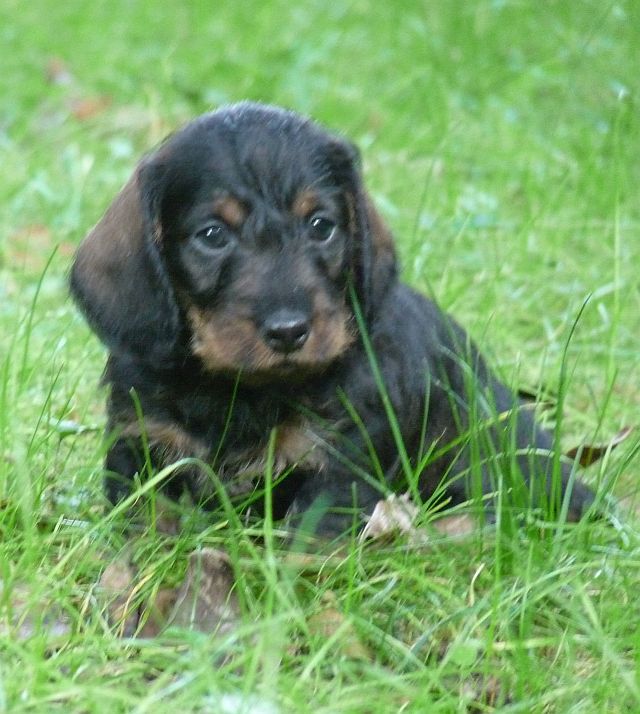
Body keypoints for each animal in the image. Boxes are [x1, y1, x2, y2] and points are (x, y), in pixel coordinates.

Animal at [70, 100, 596, 536]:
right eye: (212, 234)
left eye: (321, 225)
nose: (289, 332)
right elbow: (146, 524)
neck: (242, 392)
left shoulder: (339, 463)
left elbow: (307, 540)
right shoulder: (141, 448)